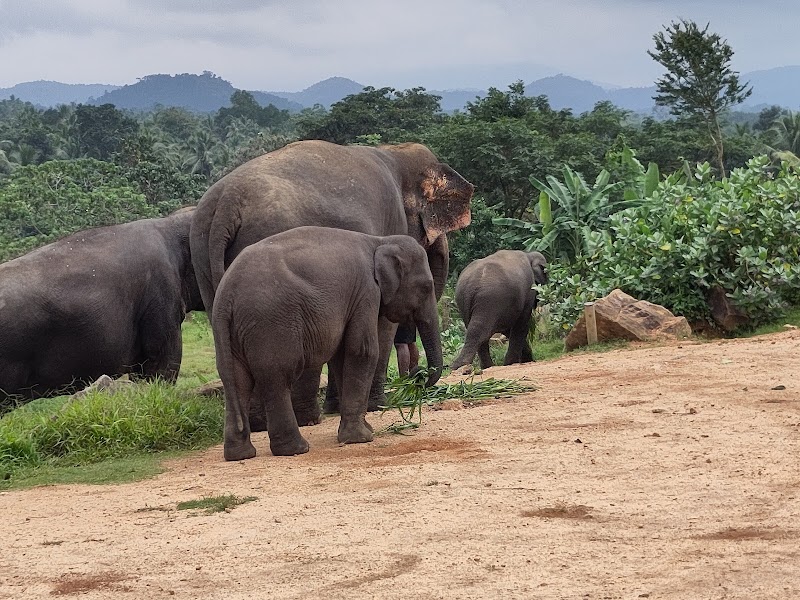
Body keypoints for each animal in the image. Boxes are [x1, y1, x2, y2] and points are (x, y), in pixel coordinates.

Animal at [190, 140, 473, 425]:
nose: (418, 377)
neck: (394, 151)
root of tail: (227, 204)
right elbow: (381, 324)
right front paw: (377, 405)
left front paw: (338, 406)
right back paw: (300, 419)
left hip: (204, 256)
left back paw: (260, 422)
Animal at [211, 226, 443, 460]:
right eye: (426, 287)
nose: (419, 375)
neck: (379, 241)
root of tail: (225, 295)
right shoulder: (366, 291)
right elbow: (362, 351)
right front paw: (361, 438)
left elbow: (342, 357)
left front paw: (361, 431)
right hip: (271, 324)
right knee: (278, 378)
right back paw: (296, 449)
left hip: (234, 332)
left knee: (237, 381)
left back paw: (240, 455)